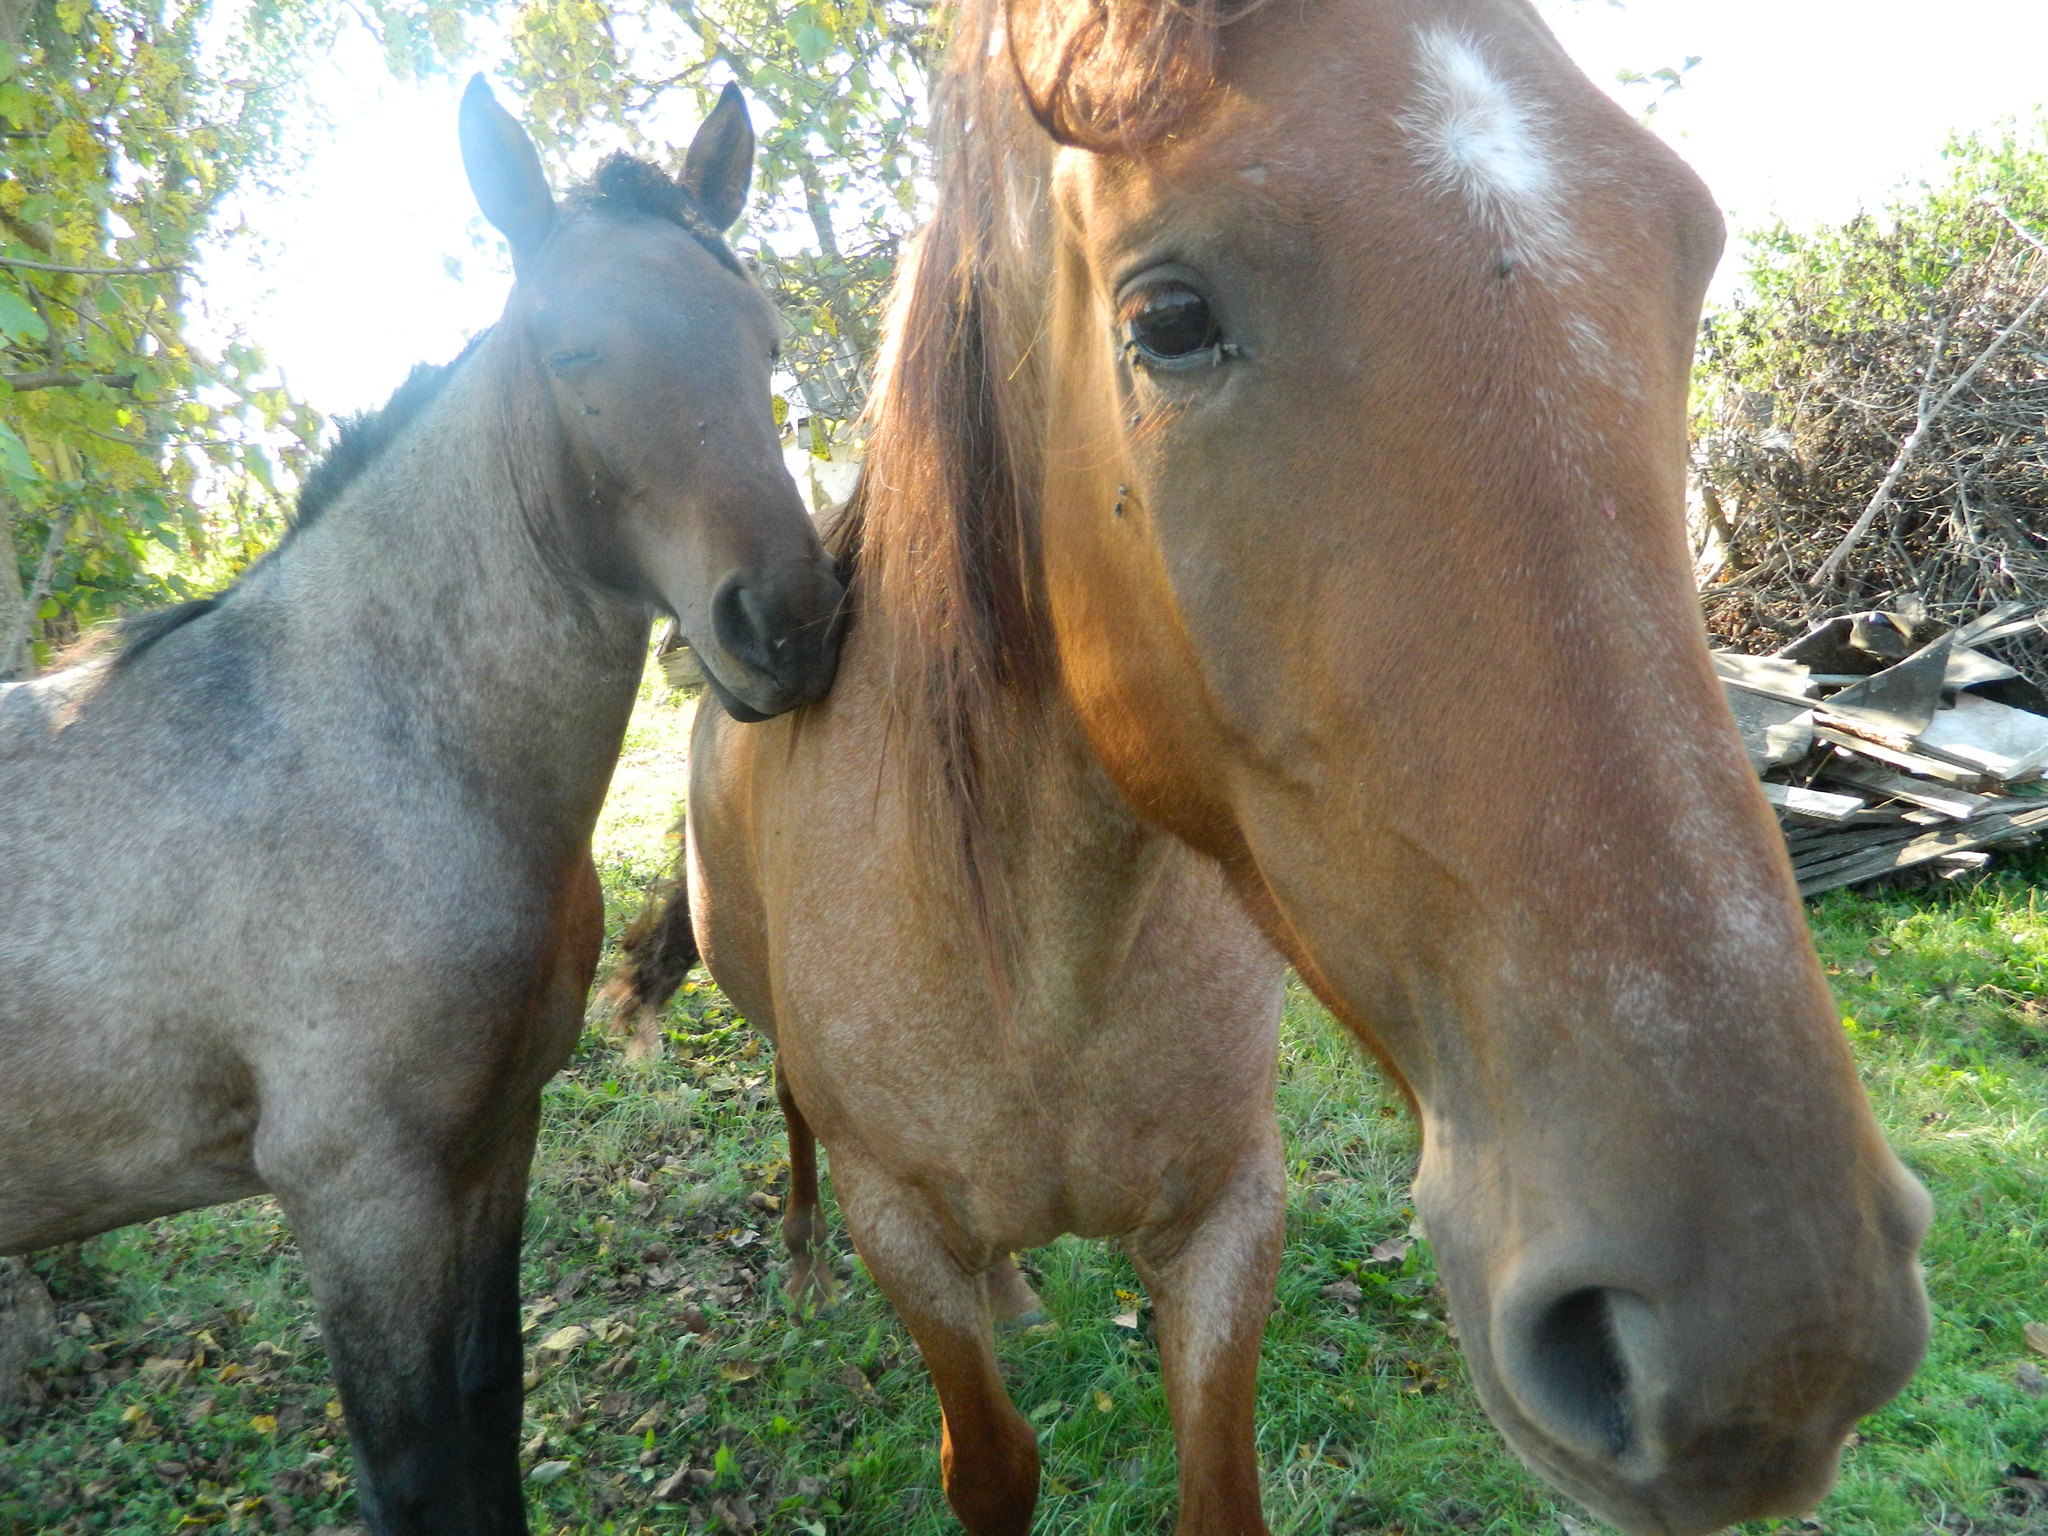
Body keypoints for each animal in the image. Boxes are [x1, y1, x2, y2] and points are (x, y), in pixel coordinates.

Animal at [0, 78, 843, 1531]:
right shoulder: (361, 1200)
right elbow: (415, 1466)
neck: (368, 749)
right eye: (569, 350)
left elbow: (488, 1411)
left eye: (764, 340)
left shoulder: (496, 1141)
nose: (786, 625)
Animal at [626, 3, 1933, 1536]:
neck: (1039, 963)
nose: (1778, 1326)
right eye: (1168, 320)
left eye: (1686, 257)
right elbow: (988, 1461)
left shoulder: (1228, 1218)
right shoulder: (905, 1230)